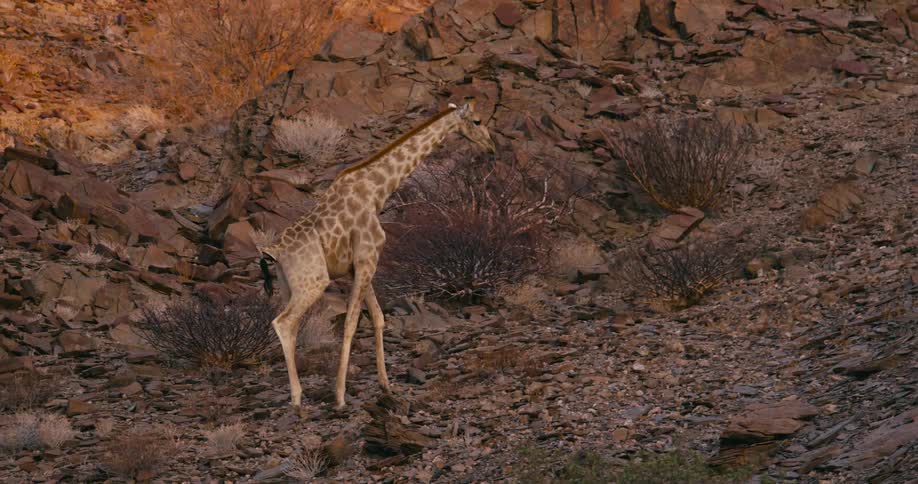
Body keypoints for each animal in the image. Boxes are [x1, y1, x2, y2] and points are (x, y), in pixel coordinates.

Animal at [259, 101, 495, 409]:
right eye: (477, 121)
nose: (491, 147)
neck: (377, 191)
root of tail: (272, 252)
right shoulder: (366, 259)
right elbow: (351, 322)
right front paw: (340, 396)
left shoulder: (359, 266)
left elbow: (378, 318)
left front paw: (386, 385)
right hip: (313, 283)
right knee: (283, 323)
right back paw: (297, 399)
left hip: (289, 286)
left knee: (291, 326)